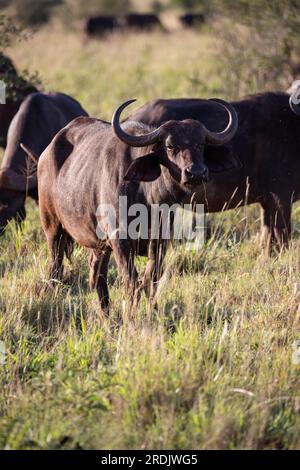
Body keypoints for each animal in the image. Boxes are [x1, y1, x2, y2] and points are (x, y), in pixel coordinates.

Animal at [38, 97, 239, 314]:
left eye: (200, 144)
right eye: (170, 146)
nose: (196, 173)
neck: (149, 200)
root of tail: (47, 152)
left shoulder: (160, 239)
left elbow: (152, 277)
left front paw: (152, 308)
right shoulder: (119, 239)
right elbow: (131, 281)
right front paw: (132, 313)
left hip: (98, 244)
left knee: (96, 275)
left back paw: (106, 313)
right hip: (52, 227)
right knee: (56, 267)